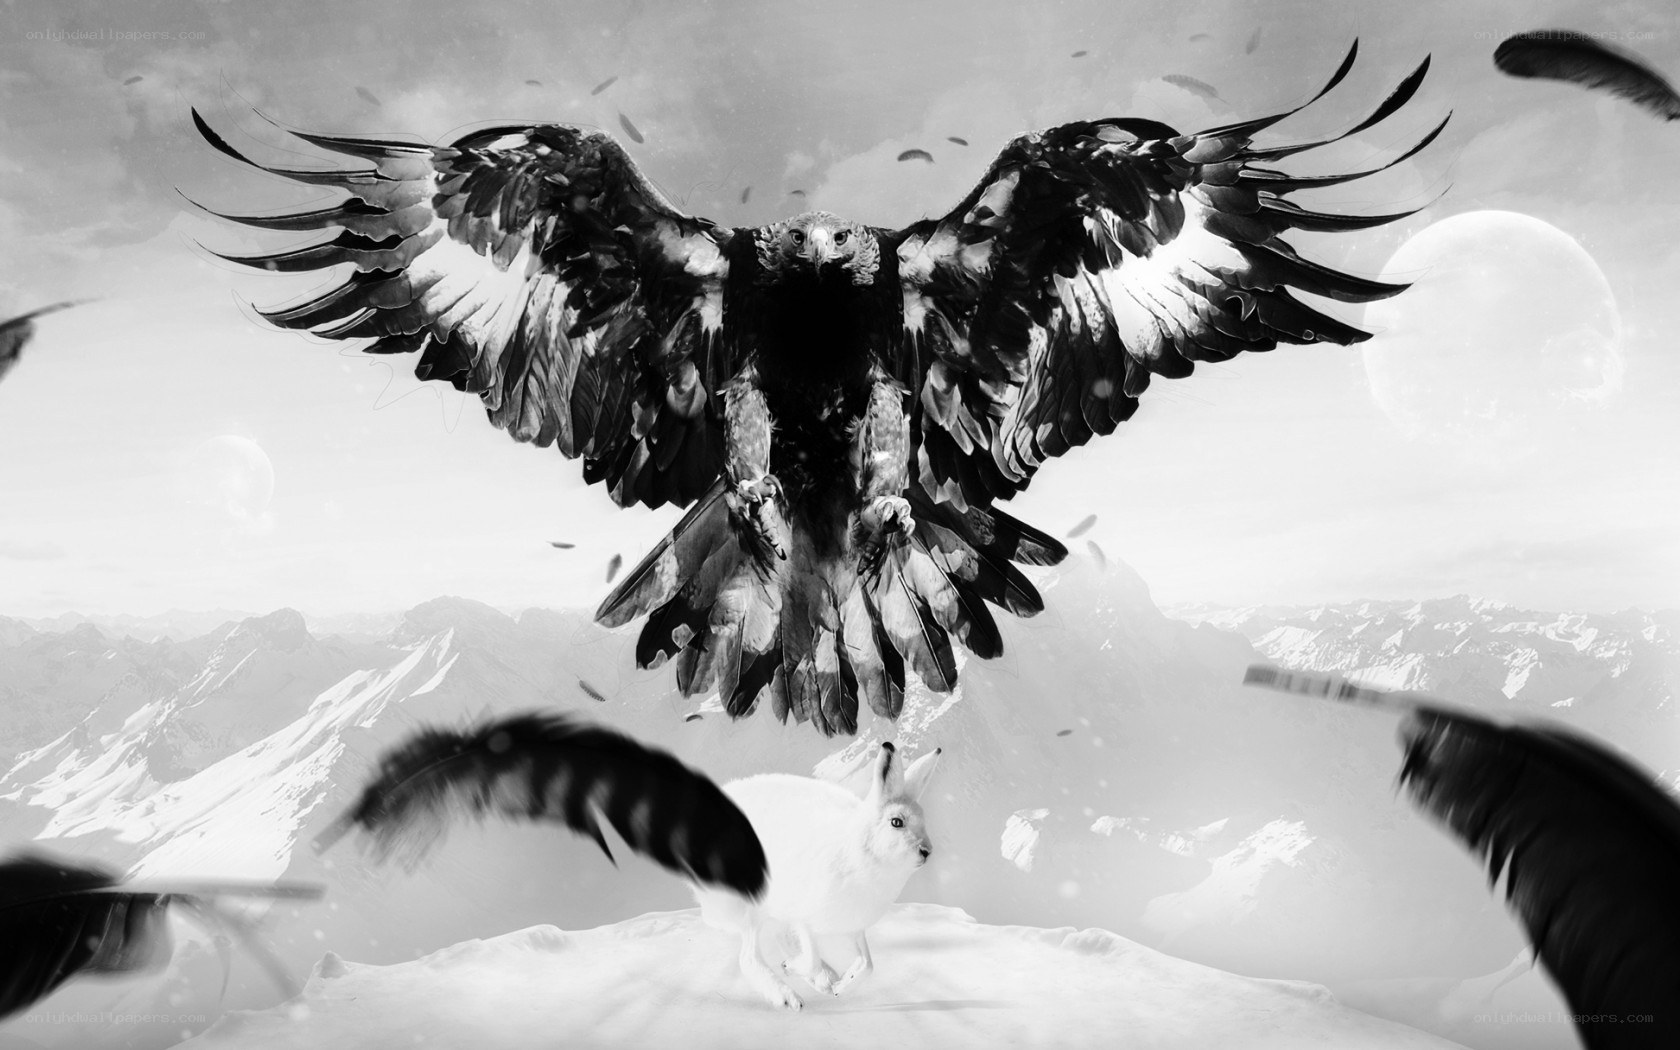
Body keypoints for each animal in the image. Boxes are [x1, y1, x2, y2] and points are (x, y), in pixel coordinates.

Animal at [692, 741, 940, 1010]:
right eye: (896, 822)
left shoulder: (854, 926)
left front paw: (842, 985)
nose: (927, 851)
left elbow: (868, 965)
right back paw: (788, 996)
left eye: (924, 821)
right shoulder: (804, 915)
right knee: (748, 957)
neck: (861, 851)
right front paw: (793, 969)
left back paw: (824, 979)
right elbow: (811, 956)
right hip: (751, 901)